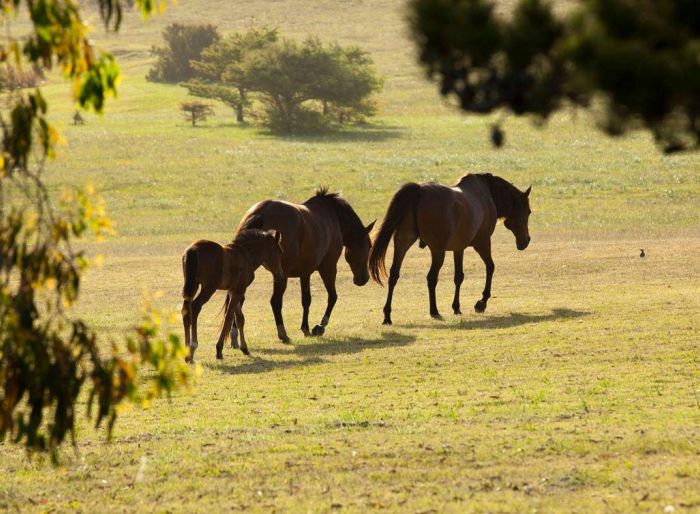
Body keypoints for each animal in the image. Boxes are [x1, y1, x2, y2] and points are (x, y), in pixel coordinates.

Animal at [182, 228, 284, 360]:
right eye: (280, 252)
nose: (281, 275)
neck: (246, 255)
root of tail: (194, 249)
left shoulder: (232, 290)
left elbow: (239, 318)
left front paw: (244, 348)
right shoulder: (240, 290)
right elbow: (229, 317)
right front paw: (219, 350)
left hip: (192, 286)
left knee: (185, 309)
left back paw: (186, 352)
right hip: (208, 288)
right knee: (195, 307)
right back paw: (193, 347)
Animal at [235, 187, 374, 340]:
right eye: (369, 246)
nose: (364, 278)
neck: (333, 216)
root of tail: (261, 212)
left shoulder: (305, 272)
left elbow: (306, 300)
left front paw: (305, 328)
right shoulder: (328, 267)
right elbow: (333, 296)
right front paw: (320, 326)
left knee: (238, 300)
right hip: (281, 276)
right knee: (275, 301)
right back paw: (283, 333)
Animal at [366, 174, 532, 322]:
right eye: (528, 212)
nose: (526, 240)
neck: (487, 193)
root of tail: (419, 190)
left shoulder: (459, 248)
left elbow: (458, 276)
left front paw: (456, 307)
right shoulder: (483, 243)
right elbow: (490, 267)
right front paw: (482, 302)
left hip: (402, 243)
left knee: (394, 275)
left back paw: (387, 315)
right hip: (437, 251)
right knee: (431, 278)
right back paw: (434, 311)